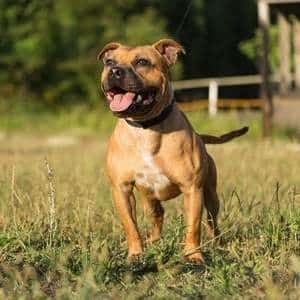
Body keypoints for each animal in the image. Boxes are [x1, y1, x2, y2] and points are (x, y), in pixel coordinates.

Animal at [98, 39, 248, 262]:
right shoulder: (122, 189)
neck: (146, 128)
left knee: (212, 221)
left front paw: (193, 255)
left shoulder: (192, 189)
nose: (114, 71)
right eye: (109, 62)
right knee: (157, 216)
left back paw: (218, 243)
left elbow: (193, 227)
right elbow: (131, 226)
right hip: (149, 200)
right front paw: (136, 254)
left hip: (211, 194)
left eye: (142, 62)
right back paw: (153, 241)